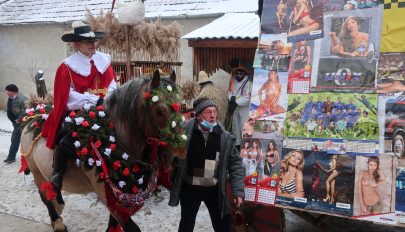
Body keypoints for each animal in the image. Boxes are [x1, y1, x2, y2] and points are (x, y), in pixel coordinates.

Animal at [20, 71, 186, 232]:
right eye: (159, 111)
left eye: (181, 107)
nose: (178, 158)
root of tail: (33, 117)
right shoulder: (105, 194)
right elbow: (131, 227)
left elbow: (113, 223)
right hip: (36, 172)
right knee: (44, 196)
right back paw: (57, 222)